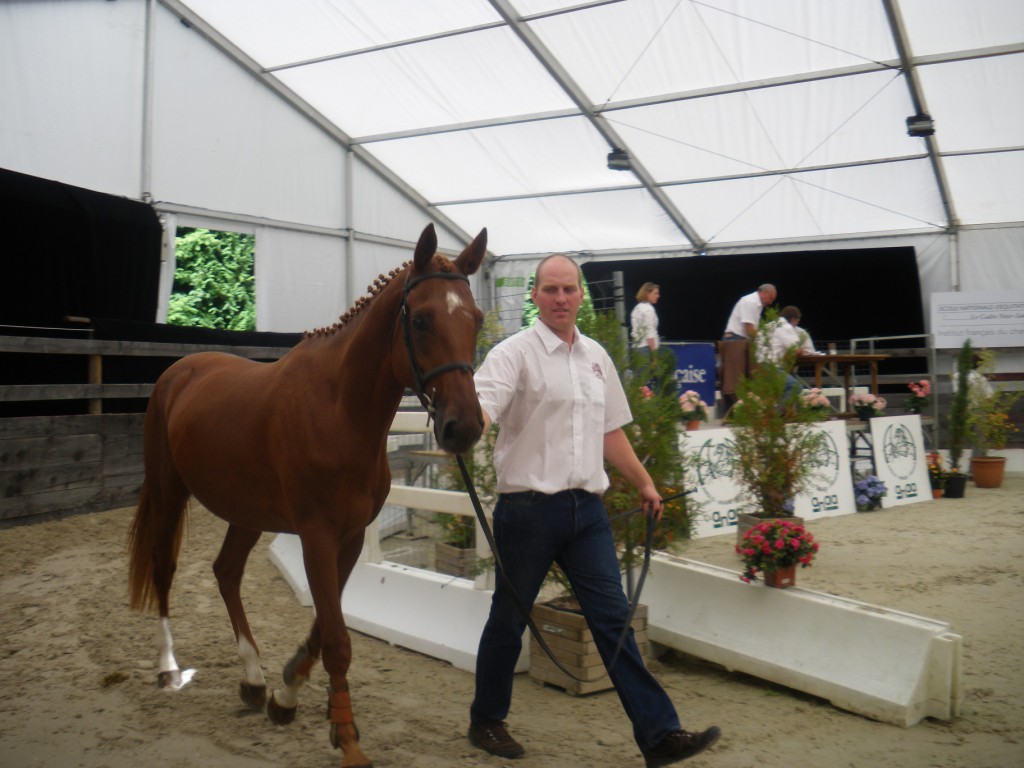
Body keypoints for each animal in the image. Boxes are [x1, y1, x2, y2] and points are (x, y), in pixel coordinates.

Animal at [128, 225, 487, 765]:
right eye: (421, 320)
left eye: (476, 319)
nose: (462, 427)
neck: (340, 409)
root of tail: (180, 370)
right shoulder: (317, 536)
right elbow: (337, 638)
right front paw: (349, 739)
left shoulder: (351, 537)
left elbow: (324, 626)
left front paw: (286, 694)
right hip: (170, 493)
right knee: (164, 568)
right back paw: (169, 667)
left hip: (247, 513)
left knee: (226, 572)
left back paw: (254, 679)